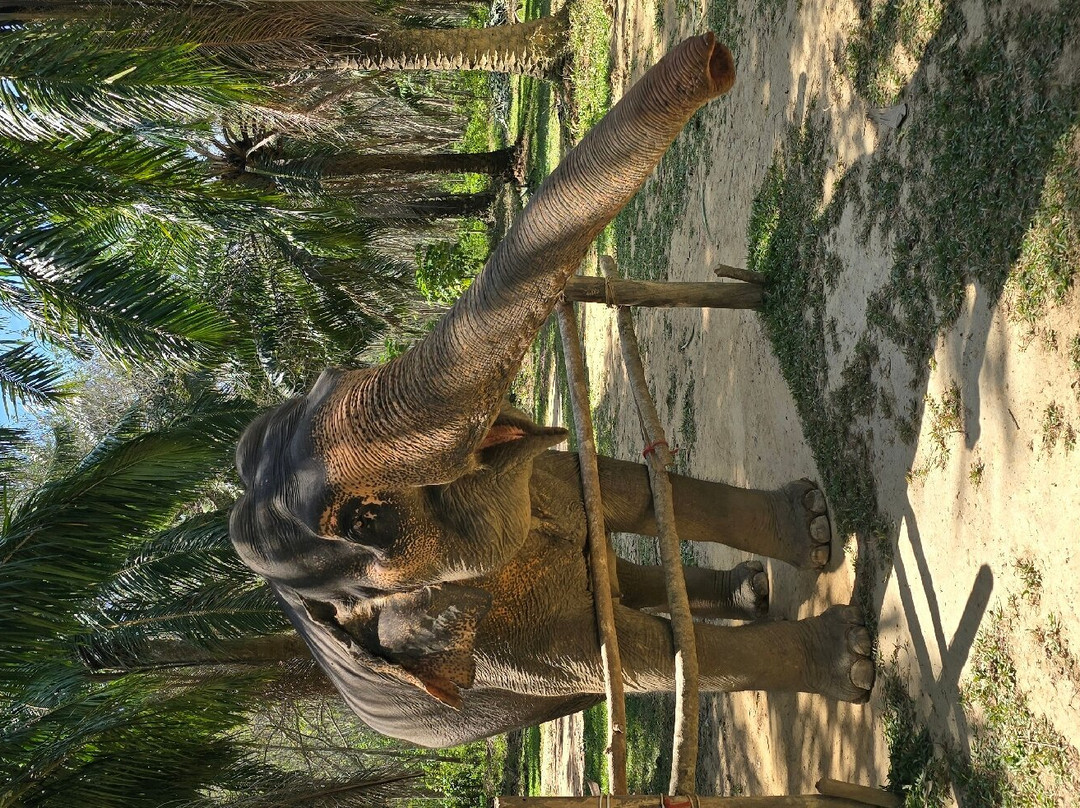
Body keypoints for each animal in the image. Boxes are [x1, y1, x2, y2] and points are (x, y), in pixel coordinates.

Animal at [229, 33, 875, 749]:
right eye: (364, 521)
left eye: (332, 377)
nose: (715, 56)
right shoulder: (495, 645)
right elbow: (643, 655)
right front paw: (852, 658)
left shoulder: (539, 481)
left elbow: (620, 488)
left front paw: (812, 525)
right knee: (621, 600)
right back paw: (757, 600)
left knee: (614, 568)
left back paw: (754, 588)